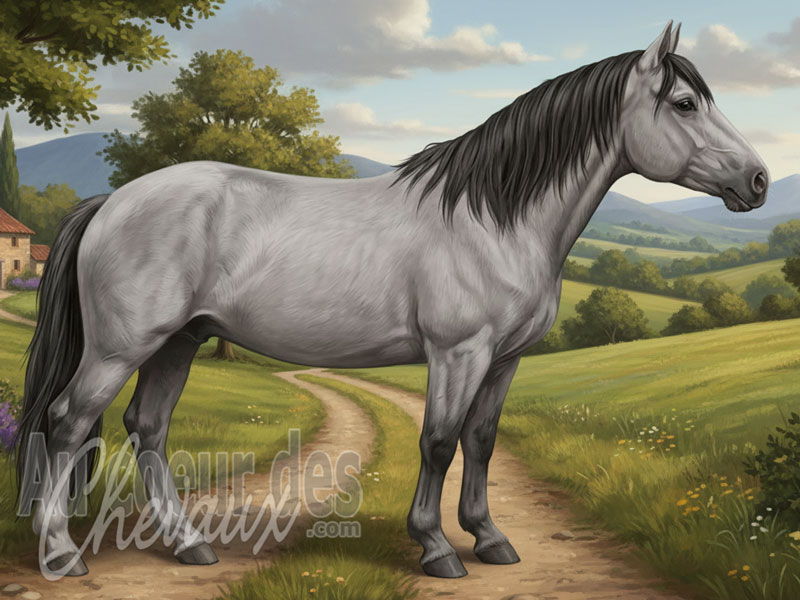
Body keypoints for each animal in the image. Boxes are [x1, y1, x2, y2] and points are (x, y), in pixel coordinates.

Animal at [16, 21, 768, 579]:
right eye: (684, 103)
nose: (758, 181)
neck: (495, 218)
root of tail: (114, 201)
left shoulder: (505, 360)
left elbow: (482, 441)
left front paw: (489, 539)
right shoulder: (458, 353)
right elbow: (438, 441)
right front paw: (435, 548)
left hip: (179, 341)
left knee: (149, 428)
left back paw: (189, 545)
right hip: (120, 348)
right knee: (69, 423)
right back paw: (62, 552)